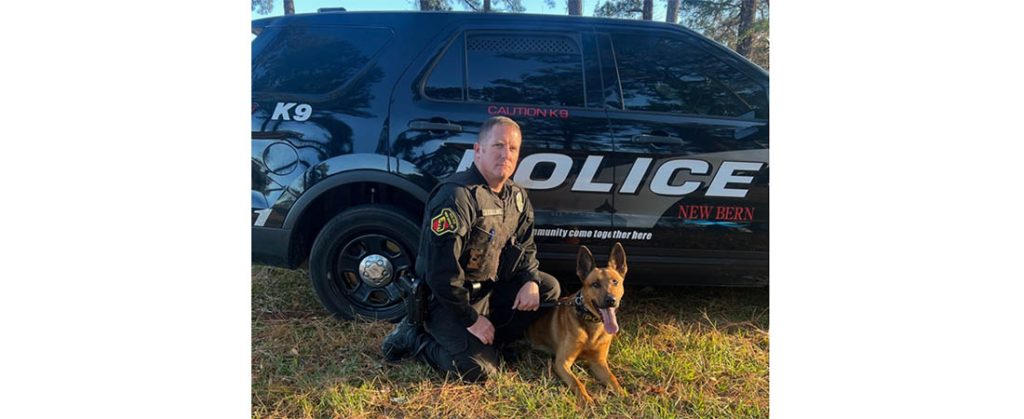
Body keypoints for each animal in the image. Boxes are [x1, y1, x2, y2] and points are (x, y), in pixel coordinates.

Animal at [532, 241, 626, 405]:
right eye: (595, 284)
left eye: (615, 282)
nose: (611, 300)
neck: (591, 325)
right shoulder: (562, 363)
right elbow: (577, 383)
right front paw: (586, 400)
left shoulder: (599, 362)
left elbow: (612, 379)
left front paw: (622, 393)